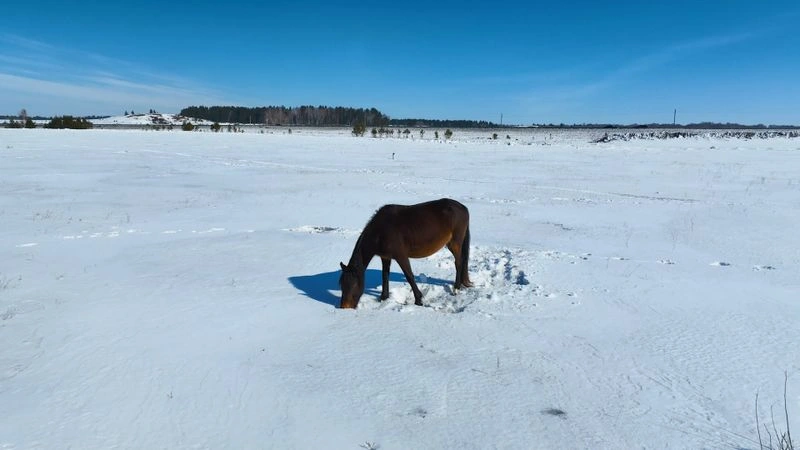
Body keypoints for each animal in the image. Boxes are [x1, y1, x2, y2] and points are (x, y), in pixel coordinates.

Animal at [339, 198, 473, 309]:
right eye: (341, 284)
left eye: (354, 284)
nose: (344, 307)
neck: (380, 232)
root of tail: (463, 207)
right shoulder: (385, 257)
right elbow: (385, 276)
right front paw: (384, 298)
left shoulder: (401, 256)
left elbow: (409, 276)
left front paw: (418, 300)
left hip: (454, 243)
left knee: (458, 263)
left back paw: (456, 288)